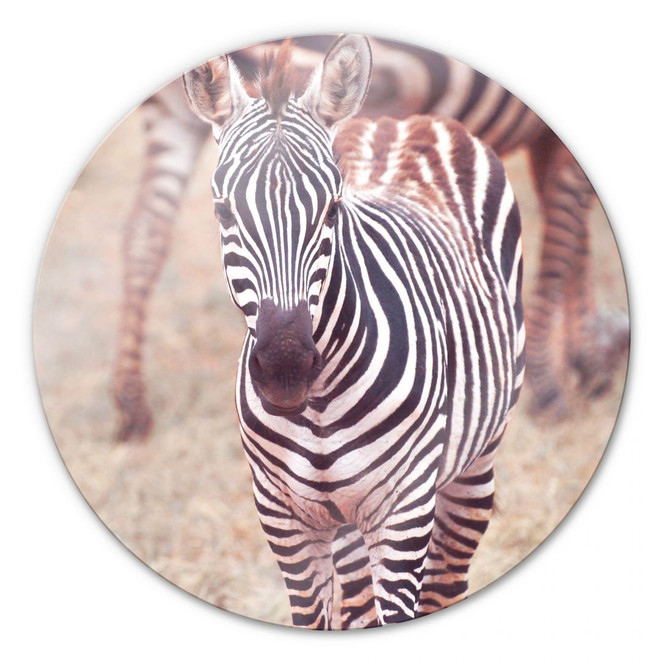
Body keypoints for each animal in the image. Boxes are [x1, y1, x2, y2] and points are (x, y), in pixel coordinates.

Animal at [111, 34, 627, 441]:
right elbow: (565, 231)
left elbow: (571, 233)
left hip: (175, 113)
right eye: (224, 210)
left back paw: (132, 407)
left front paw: (587, 356)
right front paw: (556, 381)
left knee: (144, 234)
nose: (284, 368)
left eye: (332, 209)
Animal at [182, 35, 524, 629]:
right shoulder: (285, 518)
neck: (318, 404)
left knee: (446, 580)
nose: (286, 368)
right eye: (224, 214)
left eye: (333, 209)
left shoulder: (403, 510)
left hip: (476, 461)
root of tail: (401, 120)